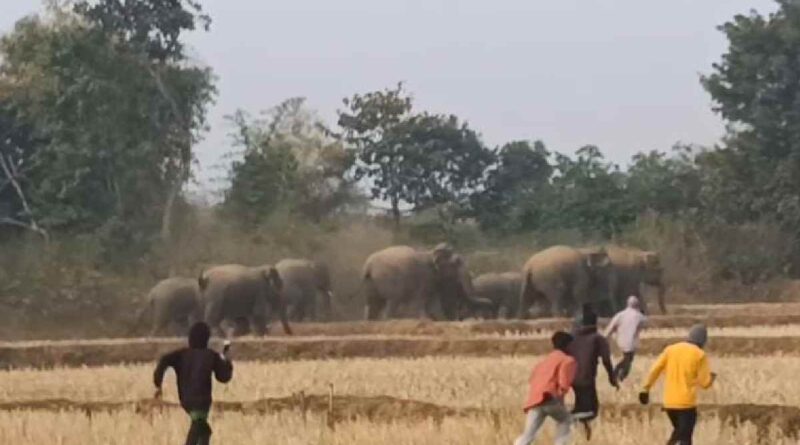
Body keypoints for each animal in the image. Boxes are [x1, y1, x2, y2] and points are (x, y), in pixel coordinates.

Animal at [360, 243, 493, 320]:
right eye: (457, 262)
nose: (490, 302)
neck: (431, 252)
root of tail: (368, 265)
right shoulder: (425, 277)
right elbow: (423, 301)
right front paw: (426, 320)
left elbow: (431, 303)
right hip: (389, 280)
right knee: (392, 301)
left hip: (370, 283)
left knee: (372, 305)